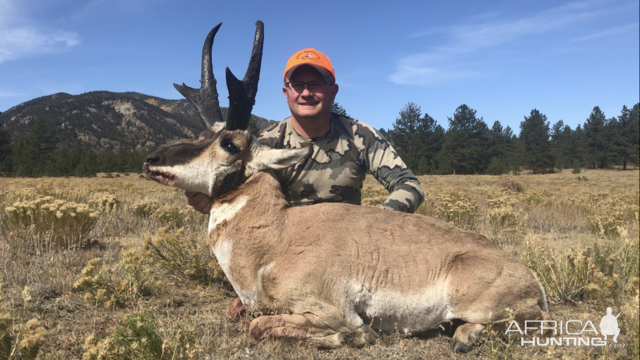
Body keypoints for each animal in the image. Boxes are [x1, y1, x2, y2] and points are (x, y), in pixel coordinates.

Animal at [145, 21, 552, 352]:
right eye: (202, 135)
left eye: (229, 144)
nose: (151, 159)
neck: (278, 236)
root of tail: (531, 278)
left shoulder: (331, 310)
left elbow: (261, 326)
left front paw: (356, 337)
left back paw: (464, 337)